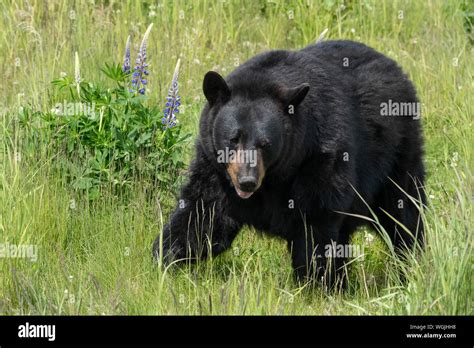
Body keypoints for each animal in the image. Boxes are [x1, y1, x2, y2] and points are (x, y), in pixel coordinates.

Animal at [153, 39, 426, 286]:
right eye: (233, 139)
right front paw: (165, 259)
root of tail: (395, 68)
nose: (247, 181)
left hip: (397, 156)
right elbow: (203, 215)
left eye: (265, 144)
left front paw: (316, 283)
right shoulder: (216, 171)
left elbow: (315, 225)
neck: (274, 179)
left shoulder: (319, 161)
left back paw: (409, 265)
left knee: (403, 213)